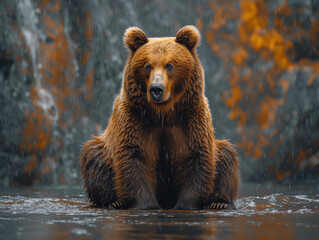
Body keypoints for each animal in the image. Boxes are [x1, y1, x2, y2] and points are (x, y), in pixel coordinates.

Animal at [80, 26, 240, 209]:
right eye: (147, 66)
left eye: (169, 65)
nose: (156, 88)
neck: (163, 113)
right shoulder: (134, 118)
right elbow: (133, 157)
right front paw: (146, 204)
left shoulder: (192, 118)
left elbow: (197, 157)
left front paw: (185, 204)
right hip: (105, 151)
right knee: (95, 159)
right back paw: (115, 202)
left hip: (219, 151)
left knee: (227, 158)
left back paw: (219, 202)